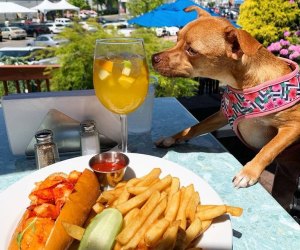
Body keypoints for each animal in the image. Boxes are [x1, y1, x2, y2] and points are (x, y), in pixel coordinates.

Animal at [152, 6, 300, 189]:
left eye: (192, 51)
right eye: (177, 38)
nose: (153, 58)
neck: (242, 86)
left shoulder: (293, 126)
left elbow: (269, 148)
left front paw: (249, 172)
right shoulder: (222, 115)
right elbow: (195, 127)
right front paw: (172, 138)